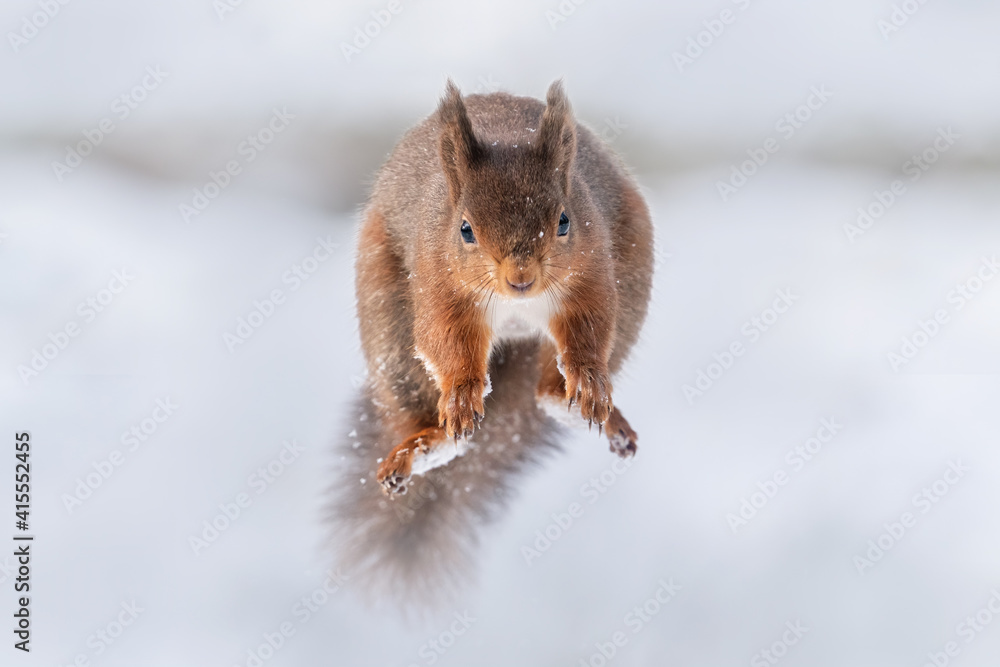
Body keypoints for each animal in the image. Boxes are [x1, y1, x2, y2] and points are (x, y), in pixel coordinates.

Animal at [328, 80, 653, 605]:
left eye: (564, 221)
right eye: (465, 229)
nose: (521, 278)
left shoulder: (593, 272)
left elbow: (591, 324)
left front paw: (587, 374)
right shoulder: (438, 284)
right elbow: (445, 337)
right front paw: (463, 391)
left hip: (633, 265)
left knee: (548, 388)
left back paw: (579, 402)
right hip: (391, 327)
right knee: (423, 412)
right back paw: (426, 443)